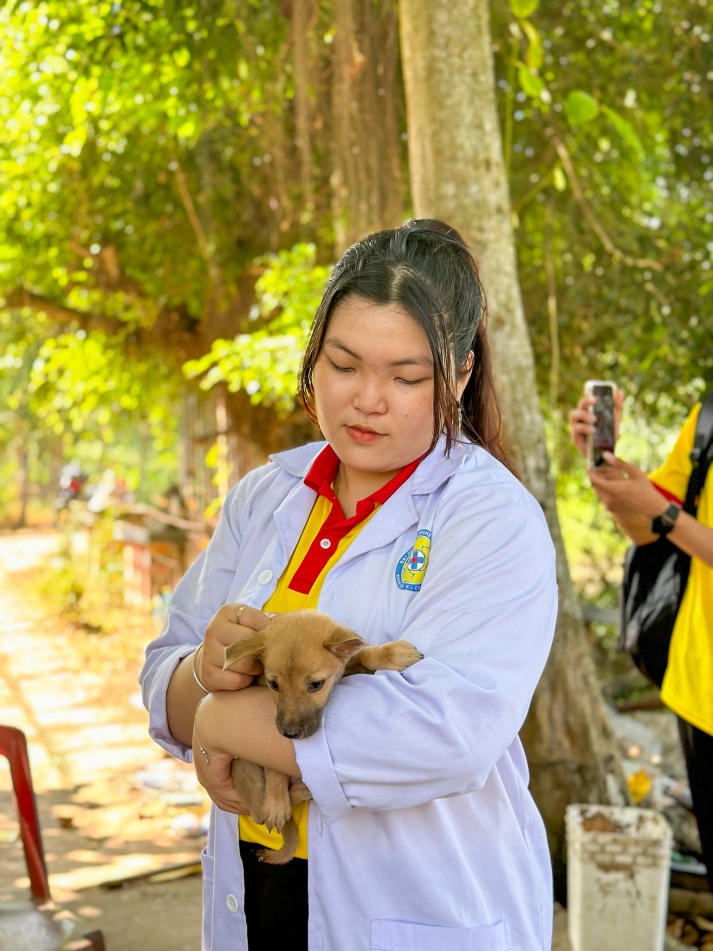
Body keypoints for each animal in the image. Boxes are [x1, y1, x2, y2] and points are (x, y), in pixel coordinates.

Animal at [224, 608, 422, 864]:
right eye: (273, 684)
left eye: (316, 684)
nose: (290, 734)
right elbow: (274, 771)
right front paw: (277, 801)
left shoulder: (347, 667)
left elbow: (364, 654)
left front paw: (393, 653)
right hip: (244, 771)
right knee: (263, 809)